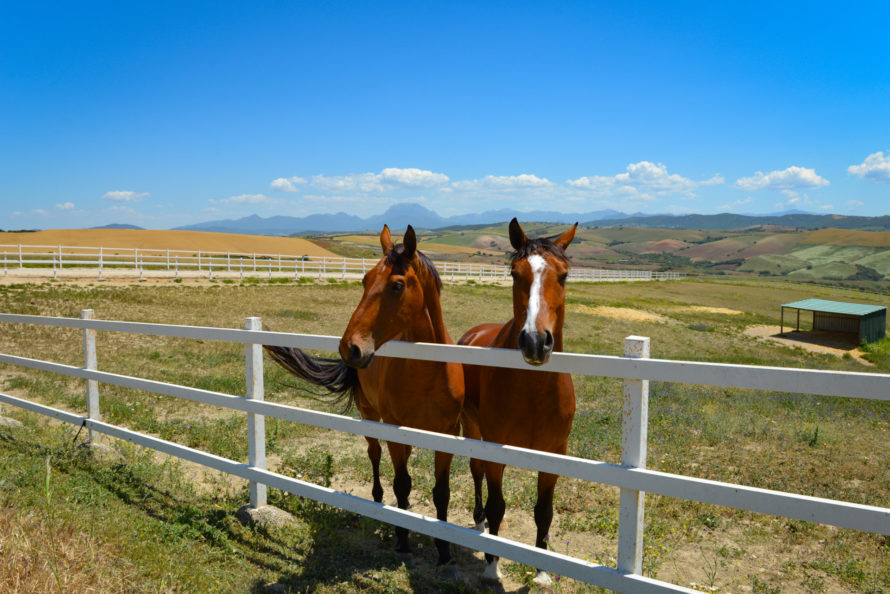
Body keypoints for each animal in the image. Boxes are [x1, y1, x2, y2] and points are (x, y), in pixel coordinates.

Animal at [264, 223, 464, 568]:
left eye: (397, 285)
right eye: (365, 280)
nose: (350, 348)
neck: (428, 369)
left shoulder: (448, 434)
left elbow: (441, 491)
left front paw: (443, 550)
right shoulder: (394, 429)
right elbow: (402, 483)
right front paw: (402, 540)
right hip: (370, 415)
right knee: (375, 457)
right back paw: (380, 501)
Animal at [458, 216, 576, 584]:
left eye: (563, 275)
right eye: (514, 274)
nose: (536, 342)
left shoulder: (553, 453)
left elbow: (544, 511)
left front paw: (541, 571)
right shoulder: (496, 445)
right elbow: (497, 504)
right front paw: (491, 565)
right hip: (471, 426)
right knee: (477, 471)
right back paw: (480, 521)